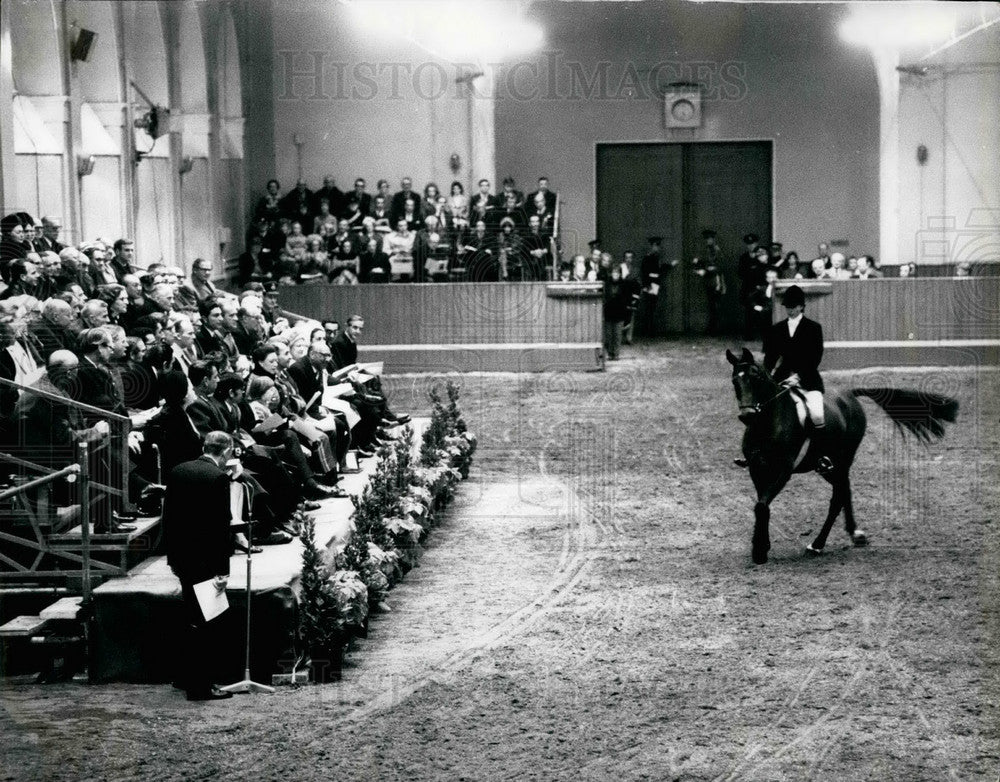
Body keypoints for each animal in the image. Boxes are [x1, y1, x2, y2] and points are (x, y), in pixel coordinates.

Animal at [732, 350, 956, 564]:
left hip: (843, 458)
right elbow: (761, 505)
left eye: (756, 377)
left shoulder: (783, 471)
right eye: (735, 381)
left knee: (838, 498)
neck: (767, 424)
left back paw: (818, 544)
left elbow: (762, 505)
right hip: (828, 467)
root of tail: (849, 394)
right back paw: (855, 534)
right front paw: (760, 546)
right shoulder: (757, 469)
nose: (746, 416)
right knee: (844, 490)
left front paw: (760, 551)